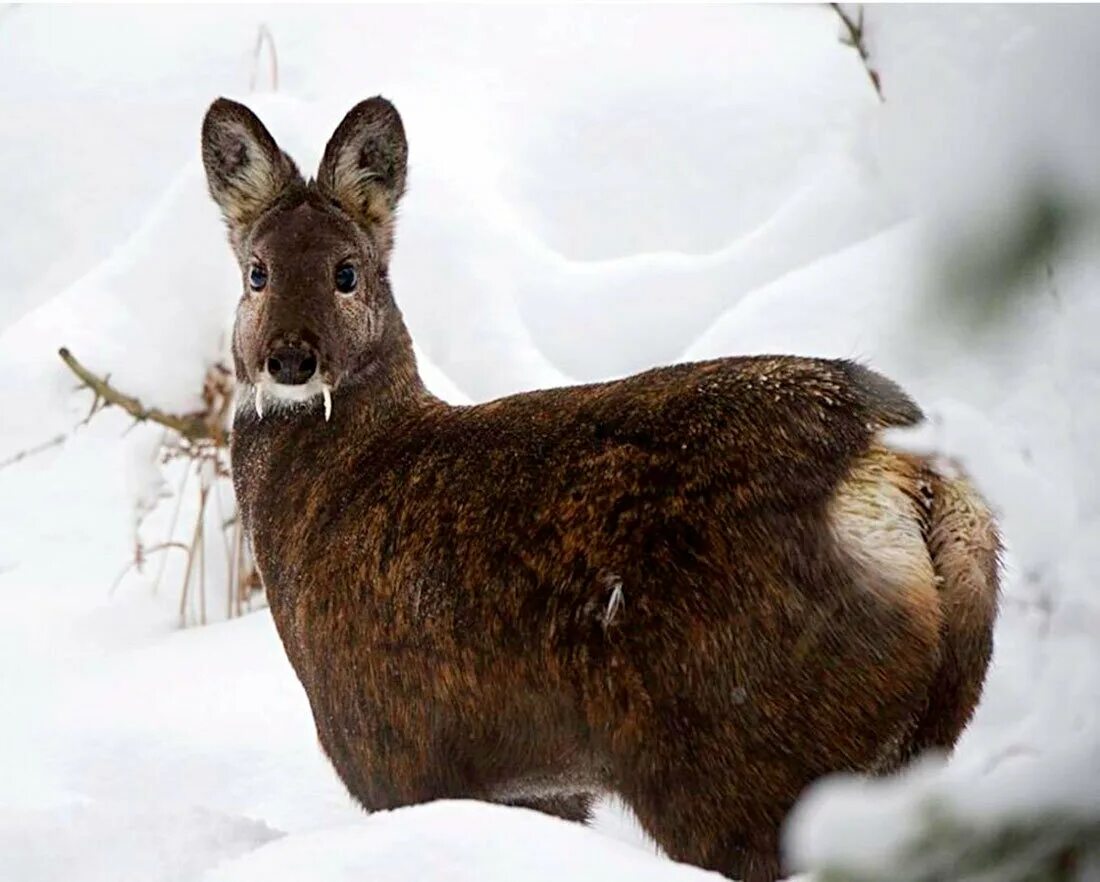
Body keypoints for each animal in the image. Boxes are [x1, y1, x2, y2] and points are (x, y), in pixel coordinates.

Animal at [202, 96, 1003, 879]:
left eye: (348, 272)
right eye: (256, 272)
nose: (290, 359)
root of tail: (908, 471)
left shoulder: (389, 741)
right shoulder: (538, 787)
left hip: (736, 748)